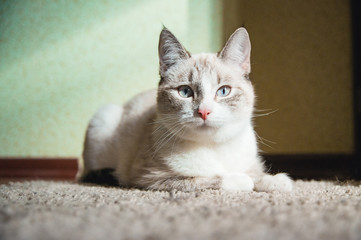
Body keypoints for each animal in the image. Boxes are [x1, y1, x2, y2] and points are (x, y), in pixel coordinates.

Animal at [76, 27, 292, 192]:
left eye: (223, 91)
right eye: (185, 92)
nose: (204, 112)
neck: (215, 148)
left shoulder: (251, 164)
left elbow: (257, 174)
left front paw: (277, 181)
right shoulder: (151, 178)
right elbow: (207, 178)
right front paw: (240, 180)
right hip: (103, 117)